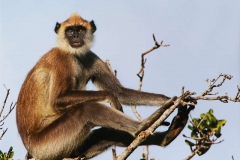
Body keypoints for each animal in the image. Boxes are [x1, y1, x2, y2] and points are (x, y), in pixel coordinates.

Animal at [16, 13, 191, 159]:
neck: (74, 55)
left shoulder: (90, 56)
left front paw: (173, 99)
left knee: (107, 133)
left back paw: (166, 137)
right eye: (70, 31)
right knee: (87, 110)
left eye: (80, 30)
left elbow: (120, 92)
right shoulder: (61, 59)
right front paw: (110, 97)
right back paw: (142, 126)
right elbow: (59, 99)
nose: (76, 36)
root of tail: (30, 148)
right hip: (48, 145)